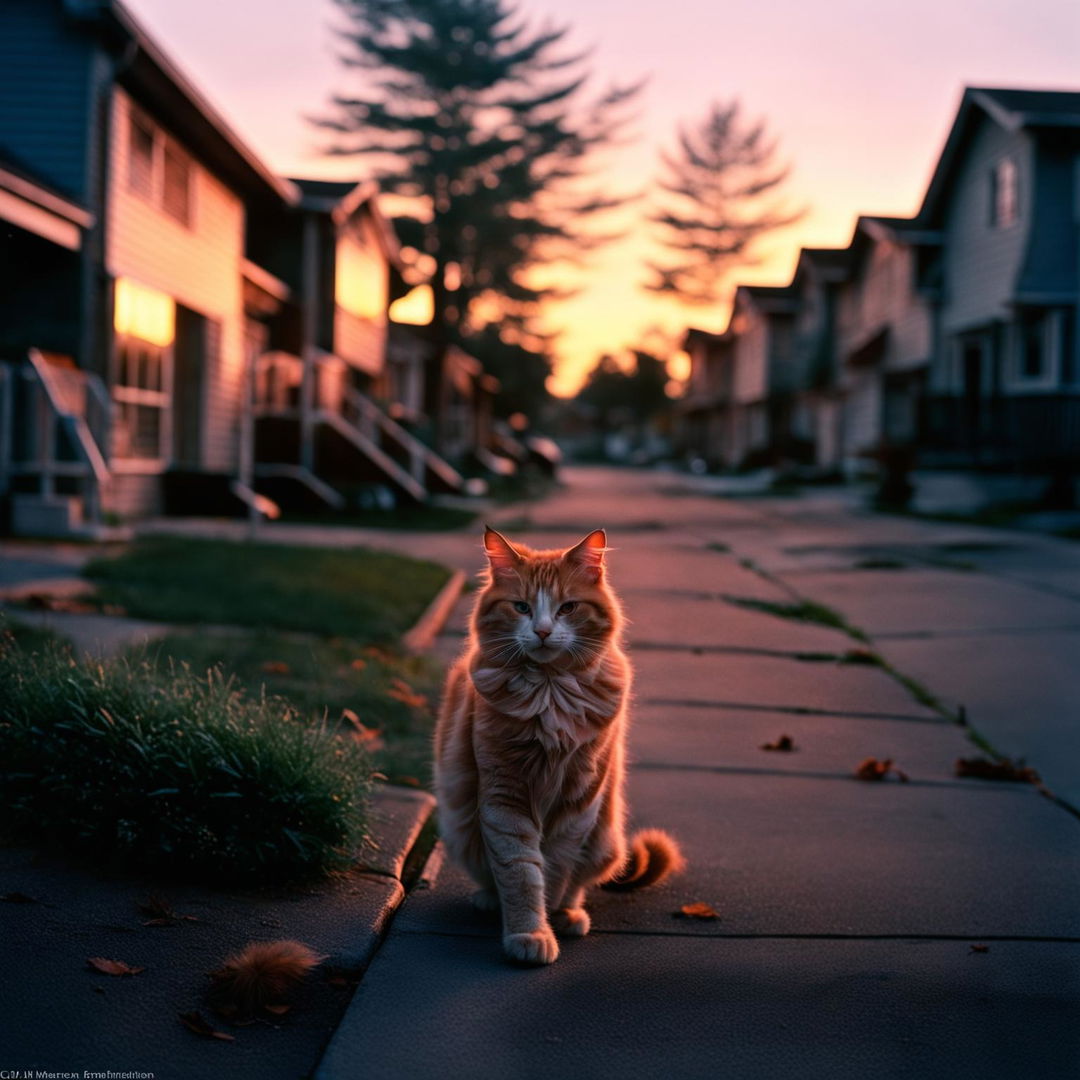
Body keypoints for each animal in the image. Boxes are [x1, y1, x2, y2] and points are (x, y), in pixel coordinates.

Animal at [432, 527, 678, 967]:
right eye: (521, 607)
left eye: (567, 608)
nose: (543, 631)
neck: (549, 694)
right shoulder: (504, 797)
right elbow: (521, 870)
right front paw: (530, 932)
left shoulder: (579, 797)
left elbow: (555, 869)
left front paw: (548, 918)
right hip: (461, 830)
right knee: (490, 875)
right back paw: (490, 902)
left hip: (605, 838)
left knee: (578, 883)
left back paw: (568, 913)